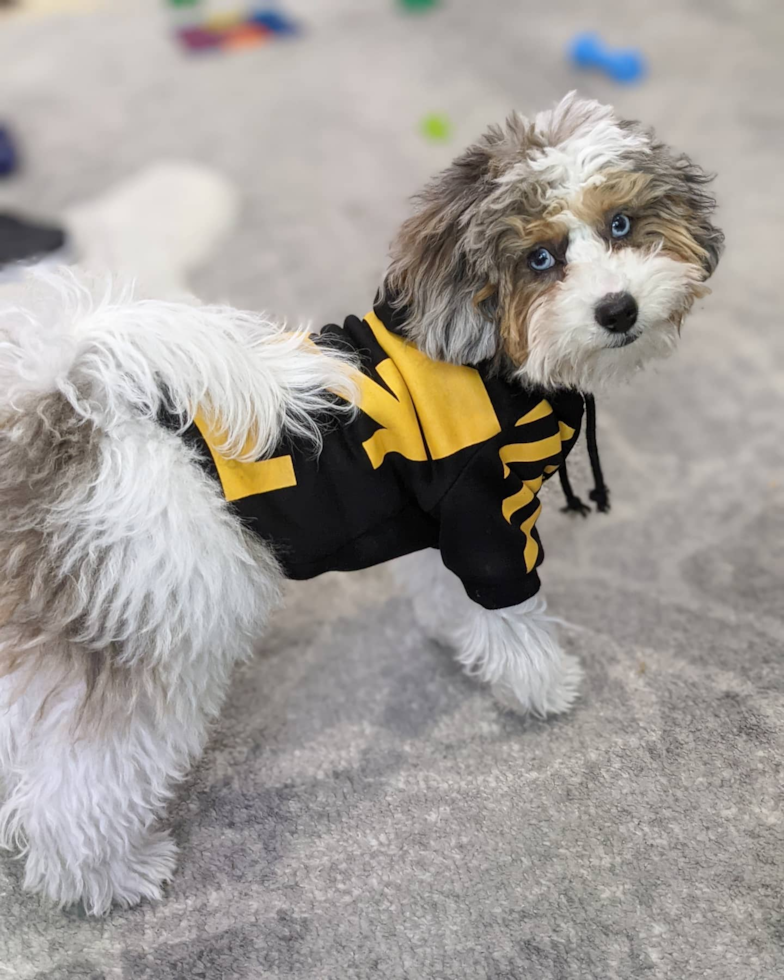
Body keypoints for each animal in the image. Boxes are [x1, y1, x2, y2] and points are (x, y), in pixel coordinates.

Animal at [0, 95, 724, 916]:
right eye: (539, 260)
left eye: (622, 225)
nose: (617, 308)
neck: (490, 360)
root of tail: (67, 414)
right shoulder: (488, 515)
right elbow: (512, 610)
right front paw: (542, 684)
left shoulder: (438, 518)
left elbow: (447, 590)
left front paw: (459, 638)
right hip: (150, 630)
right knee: (78, 783)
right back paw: (107, 876)